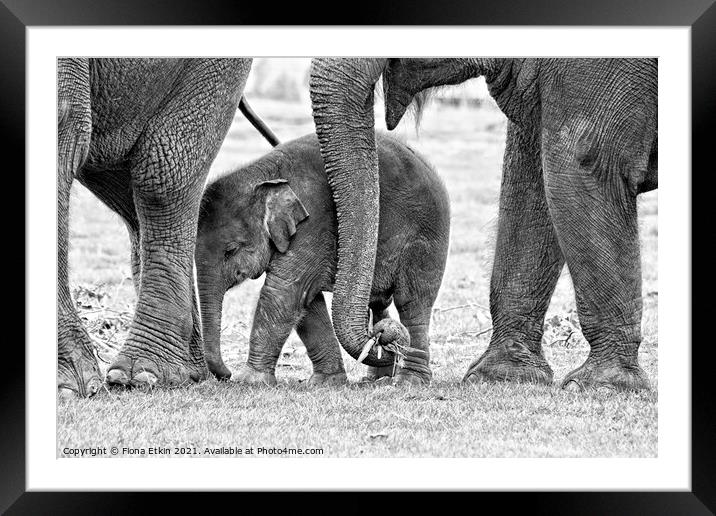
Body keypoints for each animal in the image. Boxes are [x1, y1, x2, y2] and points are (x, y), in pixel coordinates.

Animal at [58, 57, 282, 396]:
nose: (228, 375)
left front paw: (68, 387)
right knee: (123, 187)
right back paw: (185, 372)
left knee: (163, 173)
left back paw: (146, 375)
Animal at [196, 135, 450, 384]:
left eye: (231, 250)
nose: (225, 375)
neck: (263, 174)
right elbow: (307, 300)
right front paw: (325, 383)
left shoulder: (313, 224)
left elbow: (283, 292)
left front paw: (250, 381)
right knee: (378, 304)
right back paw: (378, 378)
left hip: (427, 237)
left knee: (413, 303)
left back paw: (410, 381)